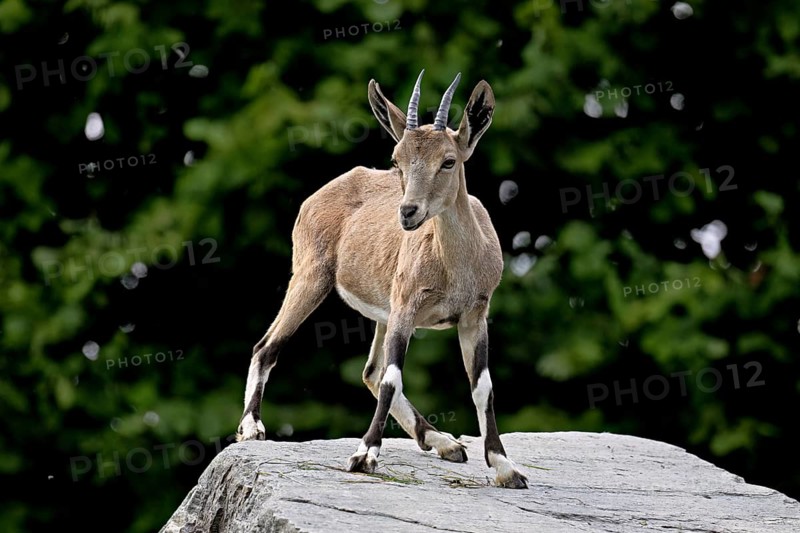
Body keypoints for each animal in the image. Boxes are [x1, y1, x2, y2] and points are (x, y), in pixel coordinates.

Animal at [236, 69, 528, 489]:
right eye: (396, 160)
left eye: (449, 161)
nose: (408, 212)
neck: (456, 267)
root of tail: (317, 196)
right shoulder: (406, 307)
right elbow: (394, 378)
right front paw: (364, 455)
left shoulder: (475, 315)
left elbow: (481, 386)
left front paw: (505, 466)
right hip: (311, 276)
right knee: (268, 346)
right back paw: (252, 427)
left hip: (379, 312)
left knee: (370, 371)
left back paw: (445, 443)